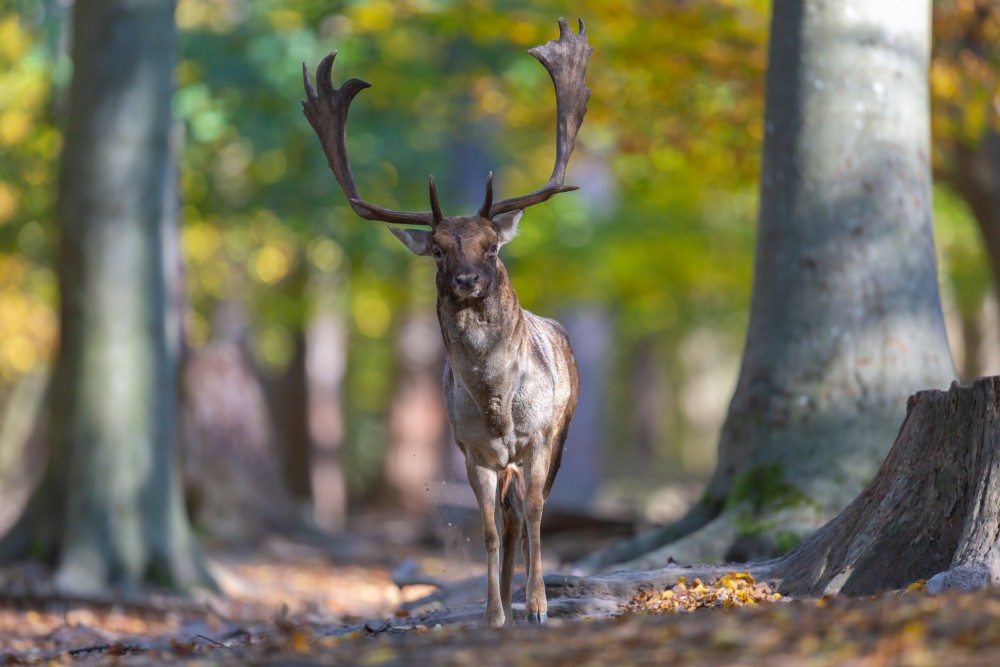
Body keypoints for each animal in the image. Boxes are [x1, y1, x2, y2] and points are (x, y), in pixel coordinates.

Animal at [300, 17, 588, 632]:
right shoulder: (472, 452)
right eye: (437, 249)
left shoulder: (538, 439)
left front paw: (538, 607)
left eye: (491, 246)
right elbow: (486, 530)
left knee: (528, 513)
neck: (498, 407)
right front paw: (494, 614)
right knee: (507, 518)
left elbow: (535, 516)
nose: (466, 280)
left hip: (562, 431)